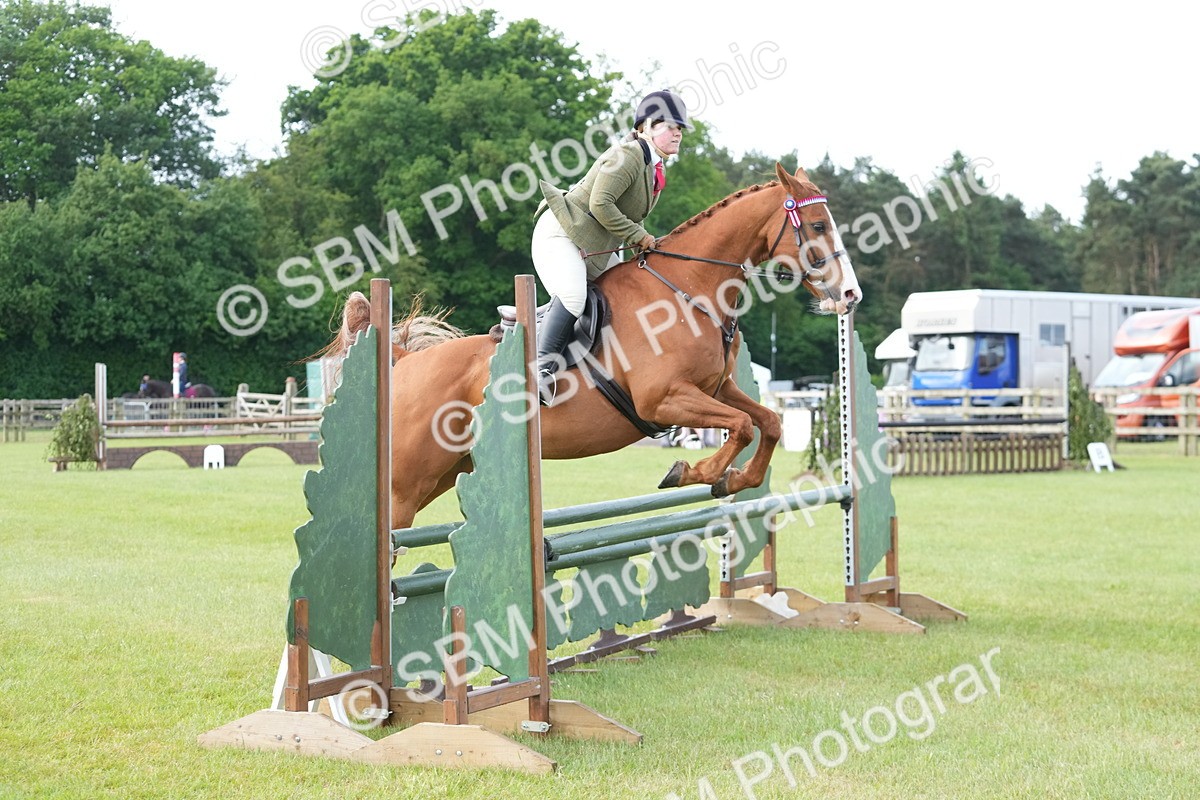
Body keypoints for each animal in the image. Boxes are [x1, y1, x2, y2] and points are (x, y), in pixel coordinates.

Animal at [323, 163, 862, 530]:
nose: (851, 295)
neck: (688, 288)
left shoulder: (716, 389)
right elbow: (743, 426)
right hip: (406, 481)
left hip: (442, 473)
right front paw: (690, 470)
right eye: (818, 227)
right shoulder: (664, 399)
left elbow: (766, 422)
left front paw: (729, 480)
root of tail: (406, 362)